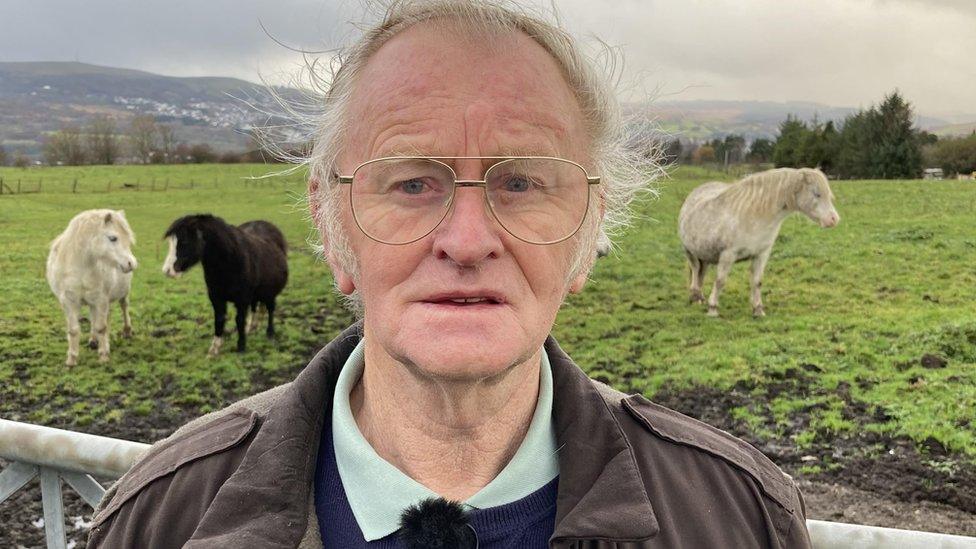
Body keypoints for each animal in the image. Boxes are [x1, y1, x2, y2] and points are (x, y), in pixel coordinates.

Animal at [47, 209, 138, 364]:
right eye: (113, 238)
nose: (131, 263)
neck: (81, 267)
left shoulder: (101, 299)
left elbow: (101, 327)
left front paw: (103, 356)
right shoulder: (69, 301)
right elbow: (74, 330)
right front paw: (71, 359)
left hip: (122, 293)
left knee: (124, 306)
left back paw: (126, 331)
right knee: (94, 316)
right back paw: (94, 340)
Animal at [160, 212, 288, 354]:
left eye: (184, 241)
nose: (167, 270)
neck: (229, 263)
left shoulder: (242, 300)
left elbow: (239, 320)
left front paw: (241, 347)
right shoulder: (216, 298)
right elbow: (219, 319)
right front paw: (214, 349)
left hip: (271, 292)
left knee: (270, 309)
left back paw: (270, 333)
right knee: (256, 307)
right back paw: (251, 328)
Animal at [680, 167, 840, 316]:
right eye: (817, 193)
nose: (834, 219)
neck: (754, 216)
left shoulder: (761, 254)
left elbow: (757, 282)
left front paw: (758, 310)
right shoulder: (728, 254)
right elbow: (720, 281)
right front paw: (713, 309)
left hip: (705, 255)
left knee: (701, 273)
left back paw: (699, 297)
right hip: (690, 251)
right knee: (695, 269)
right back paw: (695, 296)